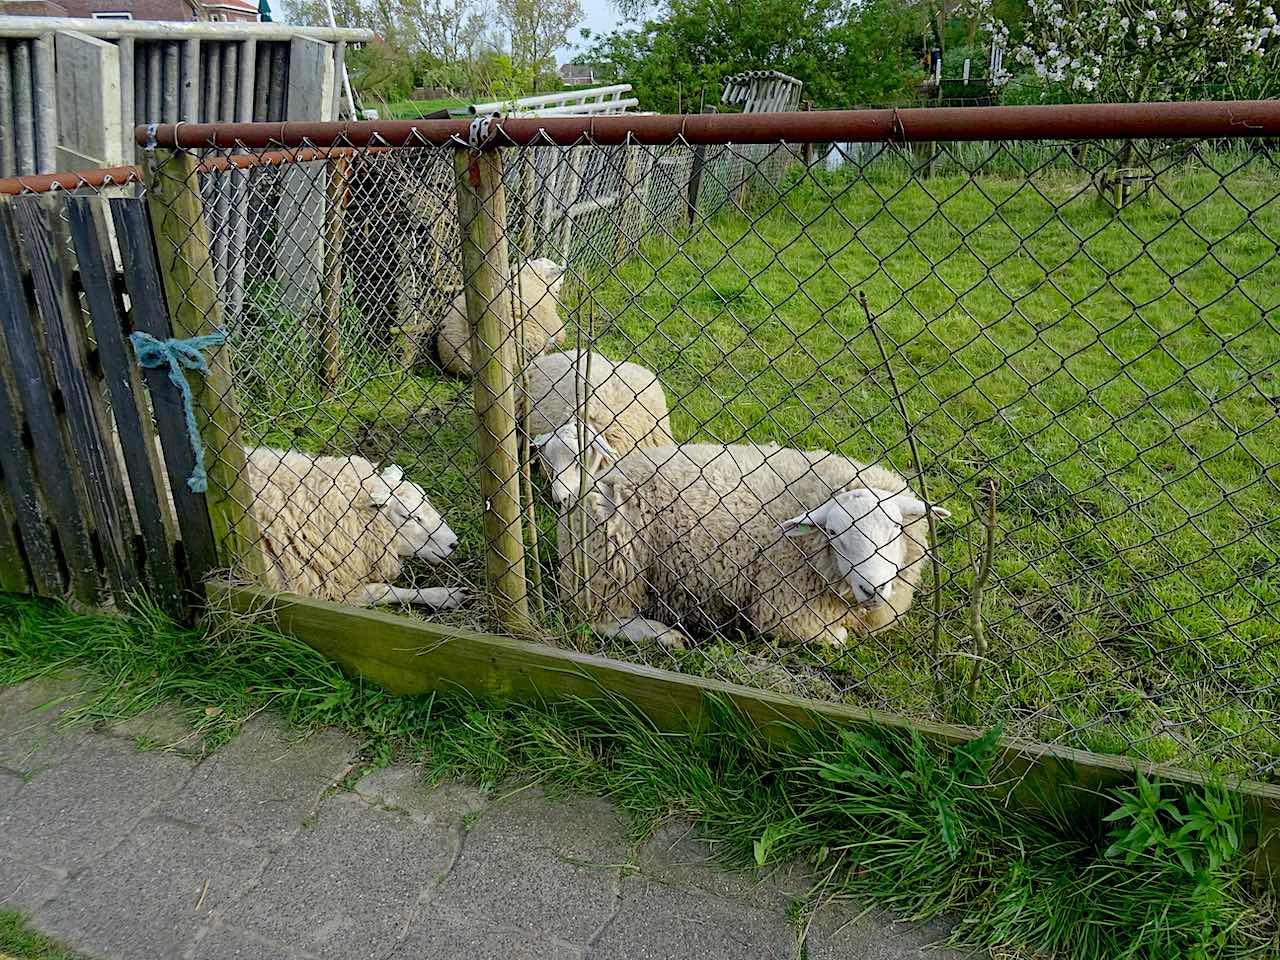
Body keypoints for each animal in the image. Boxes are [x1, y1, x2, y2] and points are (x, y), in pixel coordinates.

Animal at [558, 448, 952, 650]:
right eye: (834, 532)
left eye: (896, 528)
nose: (873, 588)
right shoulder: (784, 609)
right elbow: (836, 639)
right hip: (615, 558)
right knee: (600, 620)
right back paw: (662, 635)